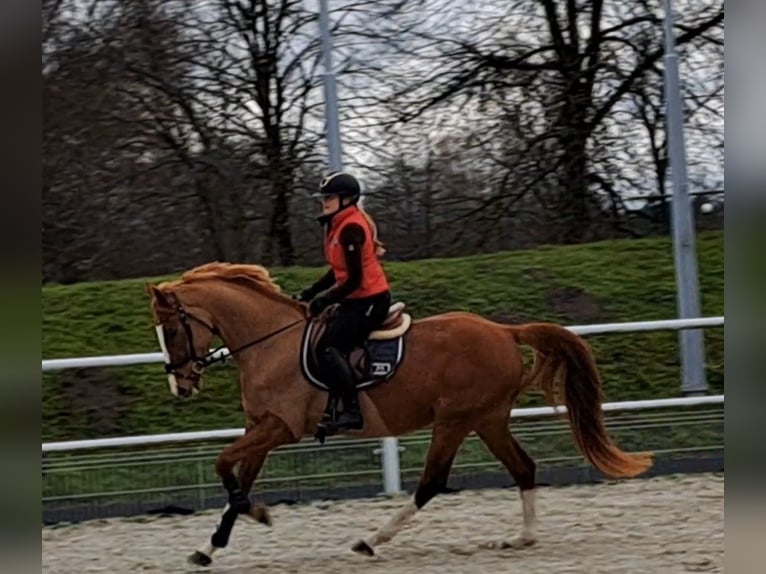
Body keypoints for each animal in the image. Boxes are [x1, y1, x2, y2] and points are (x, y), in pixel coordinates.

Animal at [146, 261, 652, 566]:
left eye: (171, 329)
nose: (180, 385)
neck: (271, 342)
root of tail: (504, 331)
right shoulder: (260, 427)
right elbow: (237, 482)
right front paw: (209, 547)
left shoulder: (279, 428)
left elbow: (222, 466)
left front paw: (258, 515)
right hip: (487, 420)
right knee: (523, 468)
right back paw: (521, 538)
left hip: (454, 421)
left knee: (432, 483)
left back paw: (372, 539)